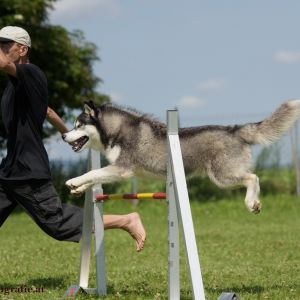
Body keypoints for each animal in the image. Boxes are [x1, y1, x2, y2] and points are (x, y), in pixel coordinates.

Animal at [62, 100, 300, 213]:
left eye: (78, 125)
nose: (63, 135)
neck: (117, 130)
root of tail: (234, 129)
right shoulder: (119, 171)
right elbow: (95, 175)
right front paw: (79, 188)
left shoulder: (122, 170)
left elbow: (93, 172)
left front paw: (73, 181)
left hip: (222, 175)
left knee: (253, 177)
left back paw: (252, 203)